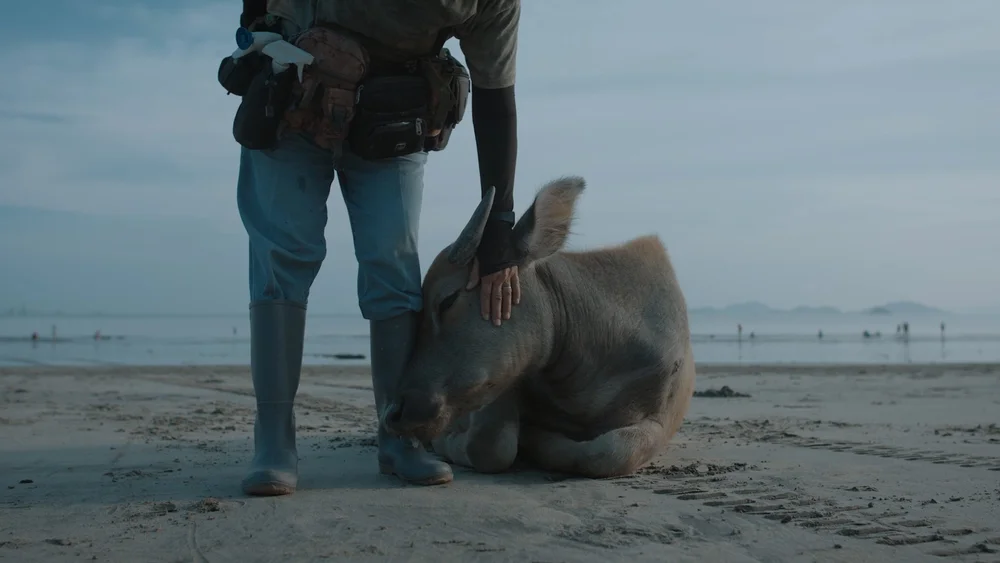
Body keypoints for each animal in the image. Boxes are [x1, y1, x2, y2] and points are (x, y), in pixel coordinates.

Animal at [381, 176, 697, 479]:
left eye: (447, 300)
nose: (395, 411)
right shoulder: (502, 382)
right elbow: (493, 445)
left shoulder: (658, 420)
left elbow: (609, 452)